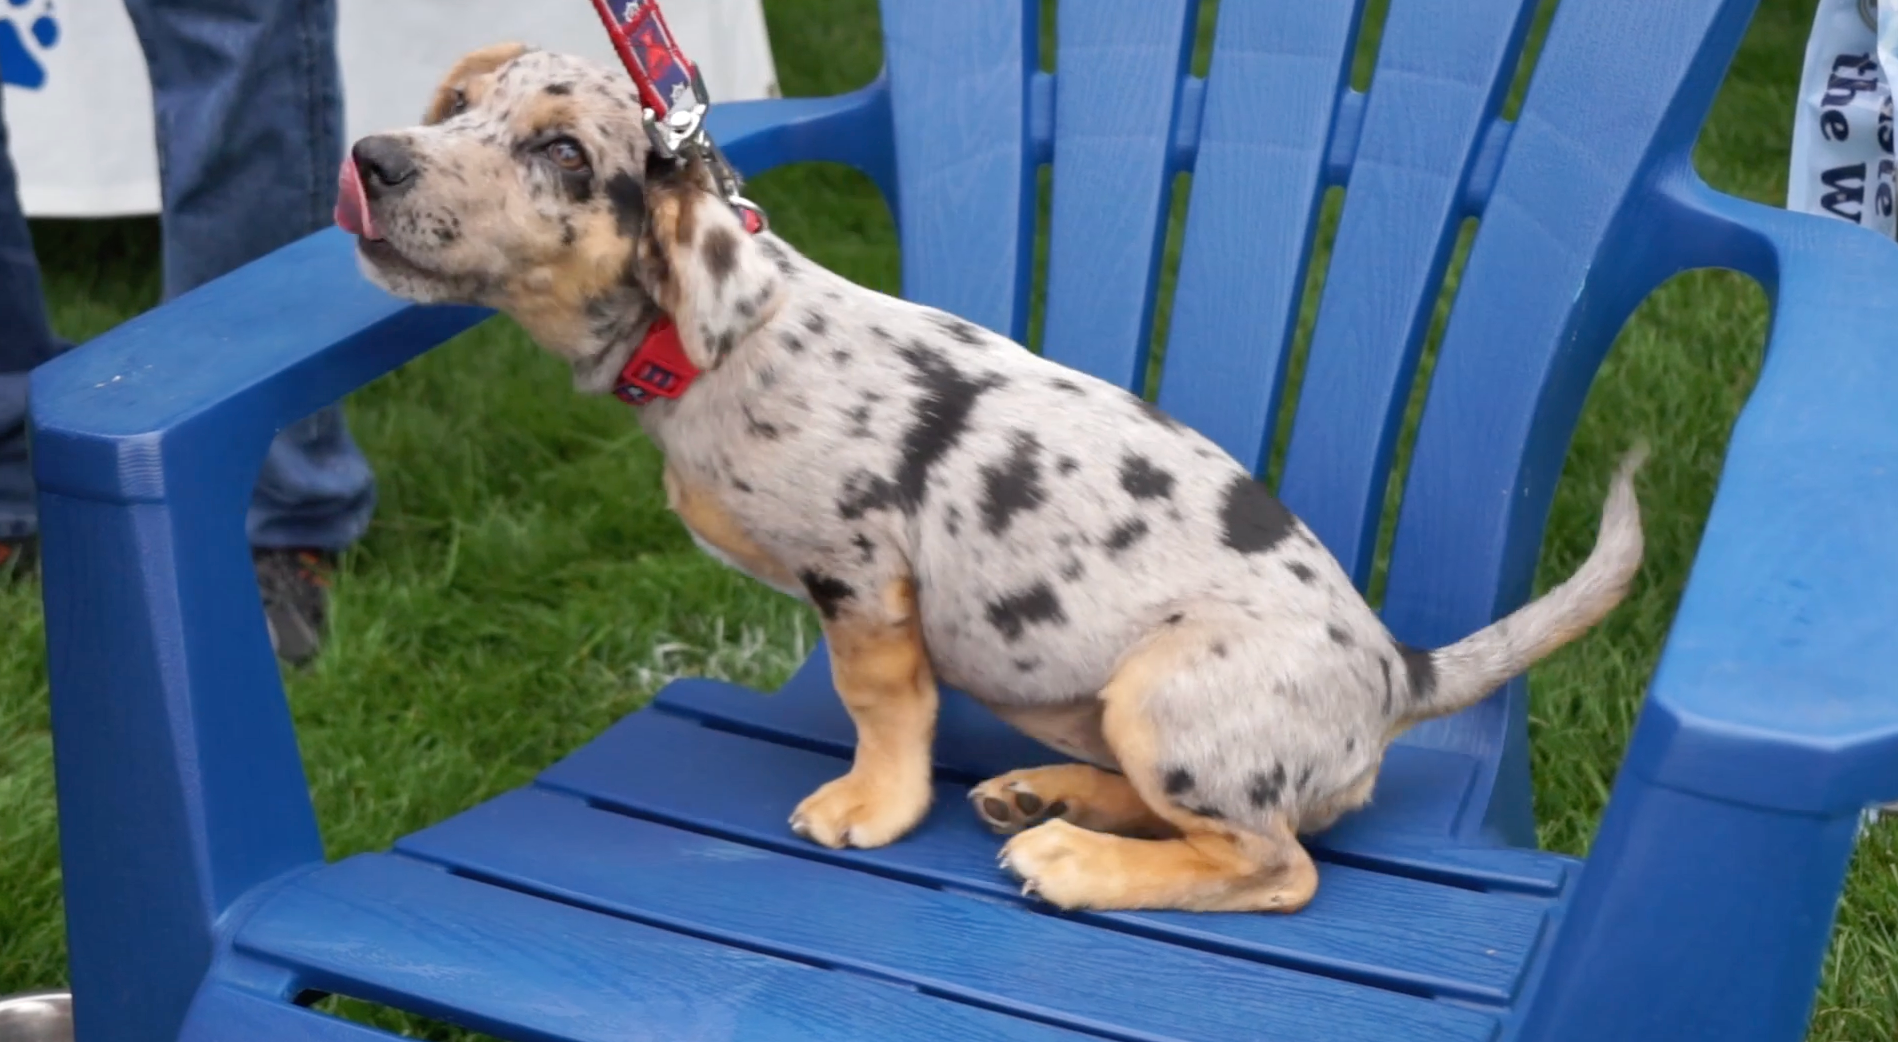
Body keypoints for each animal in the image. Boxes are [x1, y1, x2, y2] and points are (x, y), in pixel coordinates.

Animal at [341, 44, 1647, 914]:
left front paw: (871, 805)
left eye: (562, 152)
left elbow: (881, 700)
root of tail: (1396, 672)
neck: (702, 340)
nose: (373, 158)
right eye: (458, 107)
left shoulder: (861, 570)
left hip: (1165, 694)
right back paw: (1045, 794)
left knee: (1276, 866)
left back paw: (1076, 858)